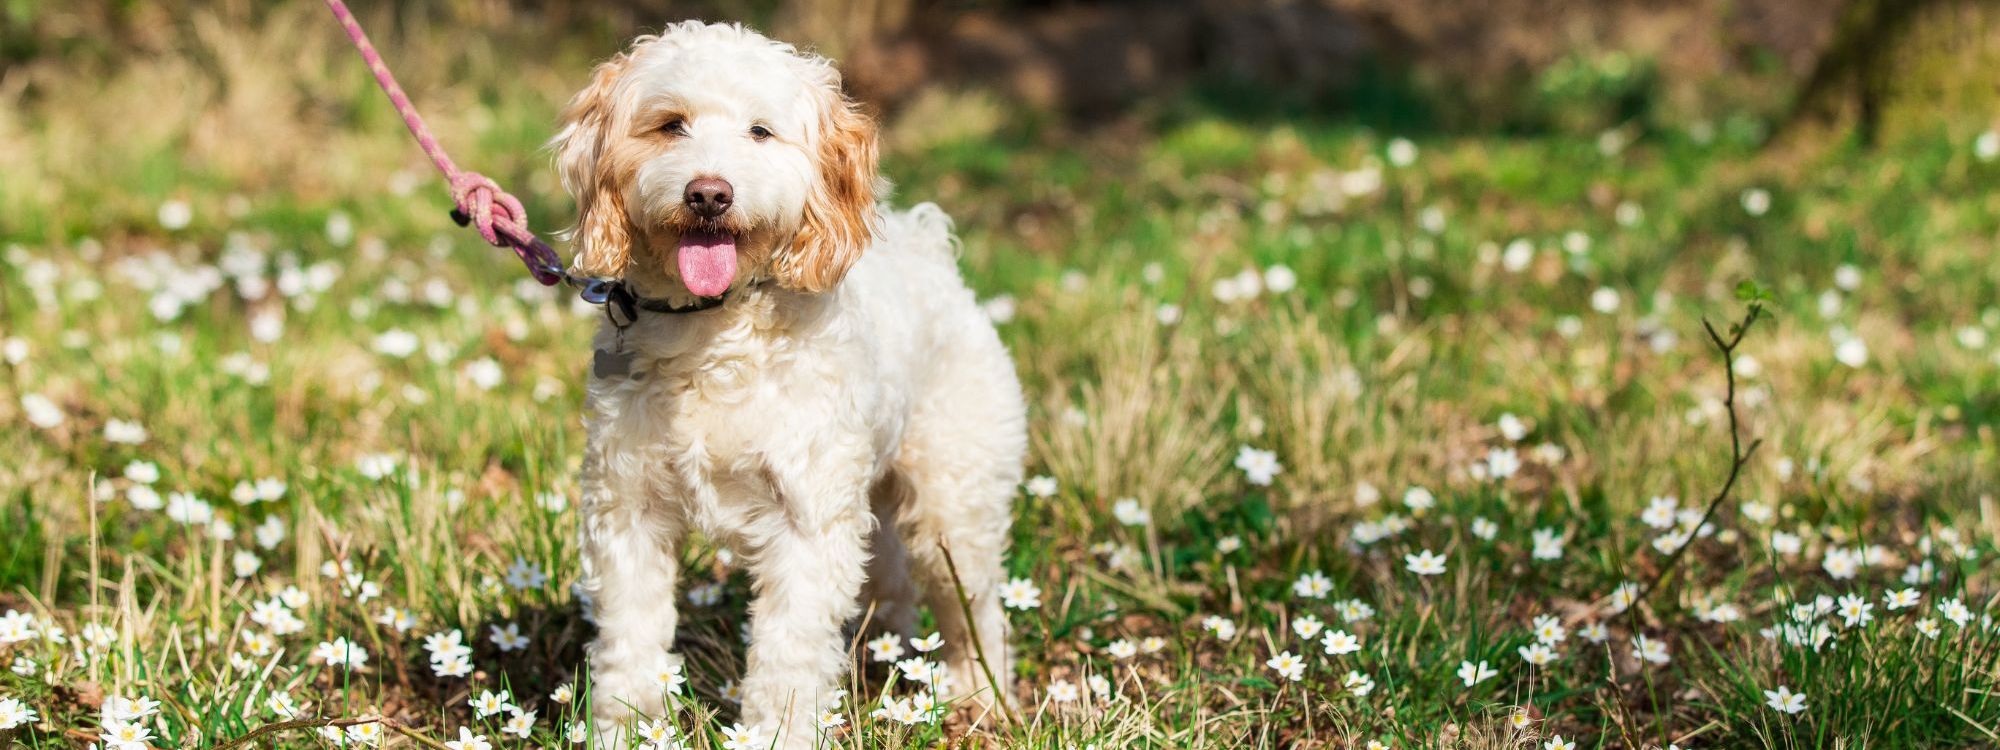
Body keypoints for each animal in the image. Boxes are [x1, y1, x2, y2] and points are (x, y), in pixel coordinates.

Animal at [548, 20, 1024, 748]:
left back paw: (980, 694)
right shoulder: (627, 512)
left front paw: (780, 731)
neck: (711, 333)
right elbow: (629, 647)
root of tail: (932, 257)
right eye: (670, 124)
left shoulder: (808, 522)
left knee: (978, 609)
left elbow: (788, 657)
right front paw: (628, 731)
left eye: (760, 132)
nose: (708, 193)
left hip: (953, 509)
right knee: (895, 591)